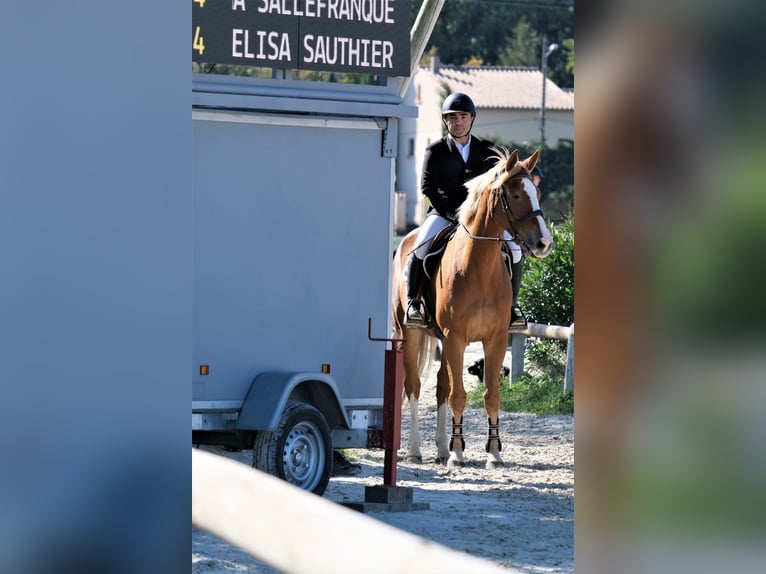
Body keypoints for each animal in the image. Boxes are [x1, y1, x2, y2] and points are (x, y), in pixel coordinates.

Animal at [392, 147, 556, 468]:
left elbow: (490, 395)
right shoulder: (455, 337)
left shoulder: (495, 339)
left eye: (538, 192)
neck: (478, 268)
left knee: (441, 387)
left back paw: (441, 449)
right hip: (410, 333)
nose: (544, 242)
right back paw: (417, 450)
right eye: (515, 195)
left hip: (442, 339)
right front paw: (458, 454)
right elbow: (458, 395)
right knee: (414, 386)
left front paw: (493, 453)